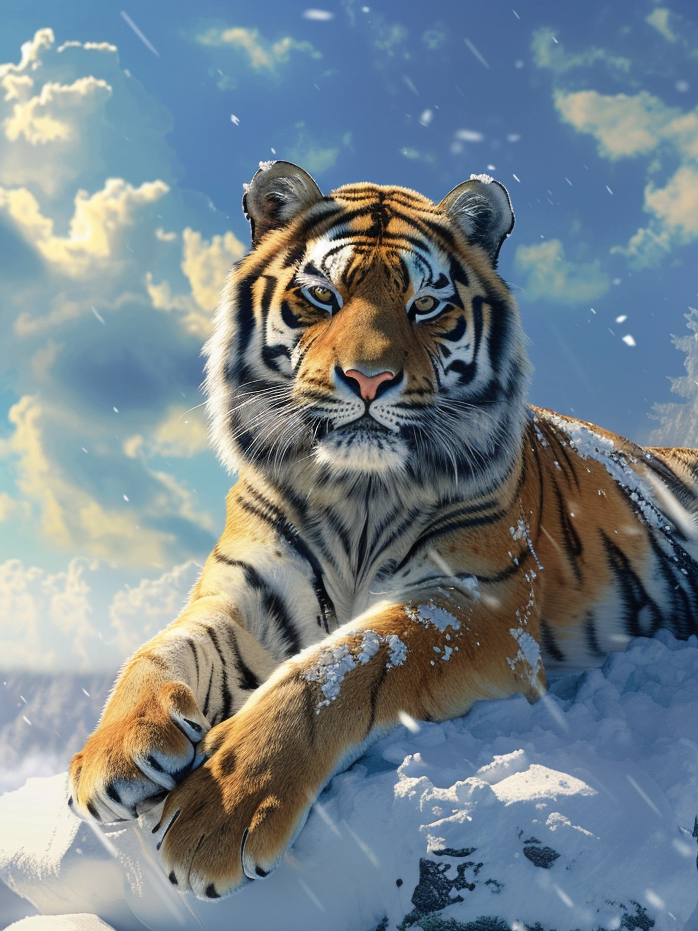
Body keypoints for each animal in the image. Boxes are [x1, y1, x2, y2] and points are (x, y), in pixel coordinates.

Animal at [68, 160, 698, 901]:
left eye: (425, 305)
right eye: (320, 294)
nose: (369, 379)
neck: (357, 490)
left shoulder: (476, 605)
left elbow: (346, 662)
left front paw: (219, 806)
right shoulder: (247, 594)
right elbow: (160, 648)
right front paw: (112, 752)